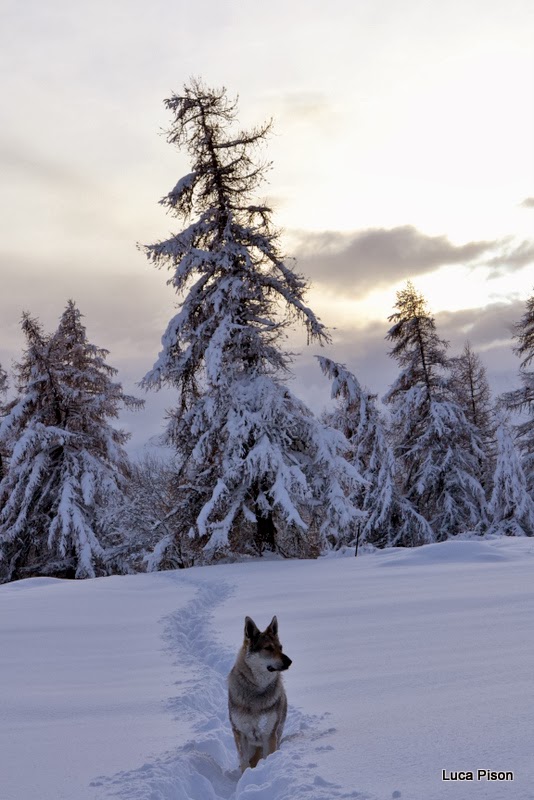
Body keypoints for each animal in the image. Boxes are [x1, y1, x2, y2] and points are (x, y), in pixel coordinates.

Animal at [227, 616, 294, 772]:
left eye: (280, 647)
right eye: (268, 648)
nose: (290, 661)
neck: (256, 691)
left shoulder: (268, 735)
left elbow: (267, 758)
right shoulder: (240, 733)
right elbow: (244, 763)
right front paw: (245, 777)